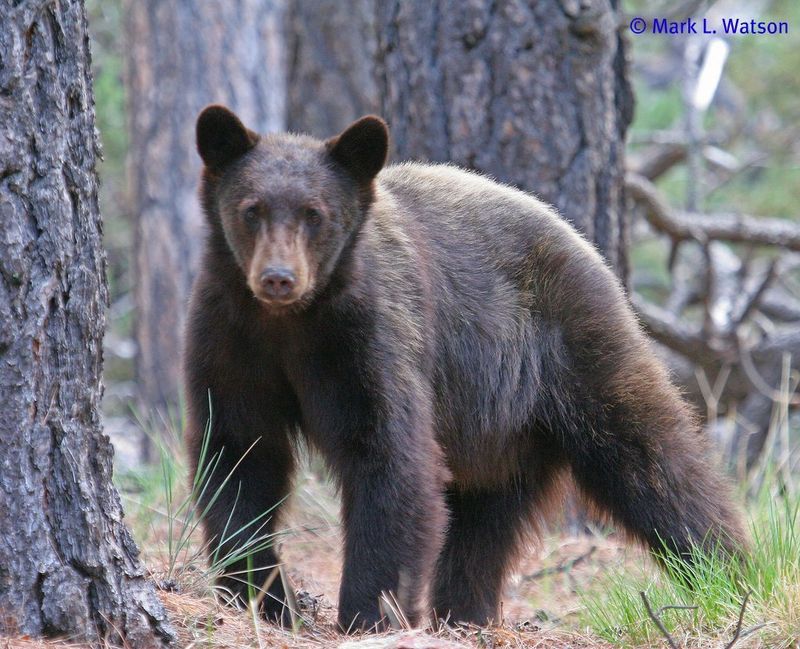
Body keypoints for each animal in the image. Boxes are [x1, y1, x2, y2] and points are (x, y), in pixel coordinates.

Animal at [184, 104, 748, 632]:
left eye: (314, 213)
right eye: (252, 209)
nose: (279, 277)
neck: (291, 324)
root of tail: (581, 240)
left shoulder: (368, 340)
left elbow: (390, 458)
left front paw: (367, 613)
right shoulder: (231, 341)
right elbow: (238, 454)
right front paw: (259, 596)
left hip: (576, 347)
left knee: (653, 458)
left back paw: (725, 570)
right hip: (499, 432)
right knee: (483, 522)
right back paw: (464, 613)